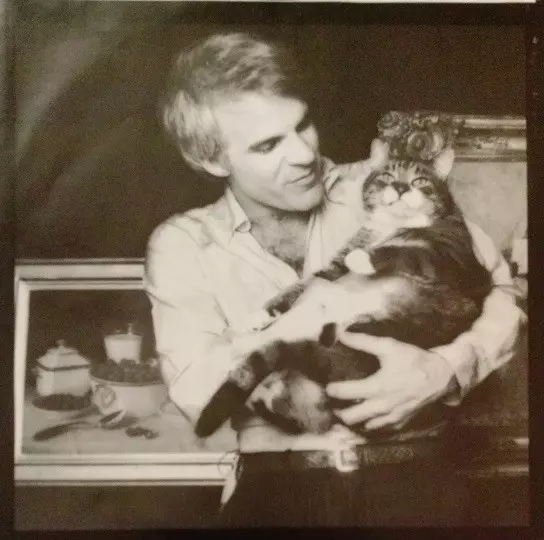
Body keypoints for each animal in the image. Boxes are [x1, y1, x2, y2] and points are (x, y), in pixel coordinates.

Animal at [194, 140, 494, 438]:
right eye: (388, 176)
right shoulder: (334, 266)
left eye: (419, 181)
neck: (392, 225)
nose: (400, 188)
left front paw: (364, 258)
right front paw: (260, 315)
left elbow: (404, 252)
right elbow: (301, 285)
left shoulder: (451, 257)